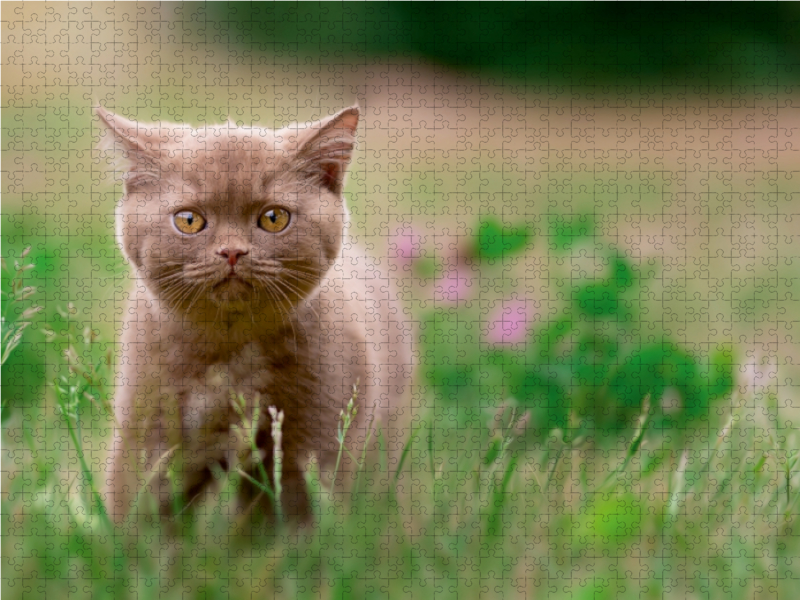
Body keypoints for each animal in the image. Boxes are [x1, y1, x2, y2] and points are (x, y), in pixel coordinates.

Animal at [95, 106, 412, 524]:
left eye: (274, 218)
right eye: (189, 220)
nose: (232, 251)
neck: (231, 356)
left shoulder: (306, 445)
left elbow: (285, 523)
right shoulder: (149, 429)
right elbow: (139, 509)